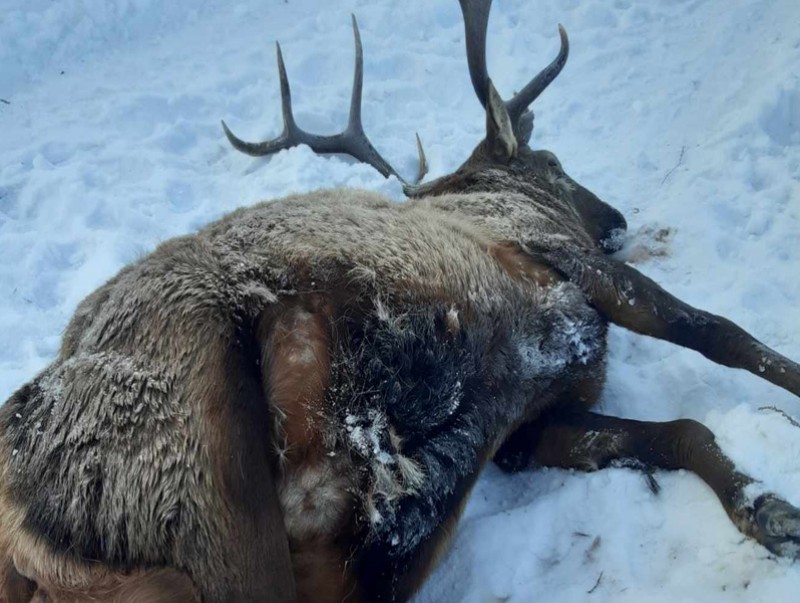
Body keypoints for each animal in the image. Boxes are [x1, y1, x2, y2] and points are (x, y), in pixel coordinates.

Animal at [1, 1, 800, 603]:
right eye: (551, 161)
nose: (616, 219)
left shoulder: (531, 429)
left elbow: (677, 431)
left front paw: (764, 508)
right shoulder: (568, 268)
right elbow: (720, 335)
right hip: (208, 476)